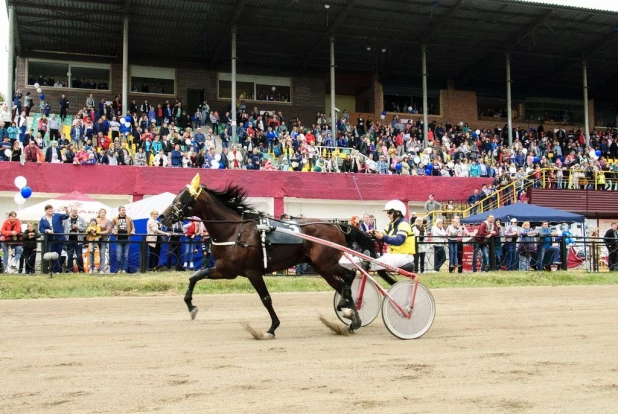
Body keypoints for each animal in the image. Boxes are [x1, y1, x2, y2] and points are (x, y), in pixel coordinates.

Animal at [159, 173, 372, 338]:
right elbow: (195, 276)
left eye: (182, 199)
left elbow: (266, 298)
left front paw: (272, 328)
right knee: (341, 285)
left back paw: (346, 306)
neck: (234, 231)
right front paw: (191, 307)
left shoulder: (252, 271)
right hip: (321, 266)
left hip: (326, 262)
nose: (163, 217)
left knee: (349, 276)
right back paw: (352, 318)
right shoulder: (225, 270)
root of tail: (338, 225)